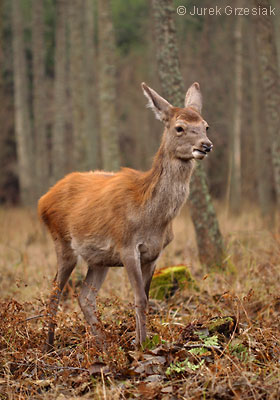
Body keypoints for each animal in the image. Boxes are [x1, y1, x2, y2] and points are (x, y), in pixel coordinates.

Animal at [37, 82, 212, 350]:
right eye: (180, 127)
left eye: (205, 125)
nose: (206, 145)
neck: (152, 217)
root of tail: (42, 200)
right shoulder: (127, 245)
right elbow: (139, 298)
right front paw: (142, 346)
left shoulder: (155, 253)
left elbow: (146, 298)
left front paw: (141, 342)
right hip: (63, 242)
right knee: (55, 291)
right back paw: (49, 344)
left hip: (98, 259)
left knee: (85, 296)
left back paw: (103, 344)